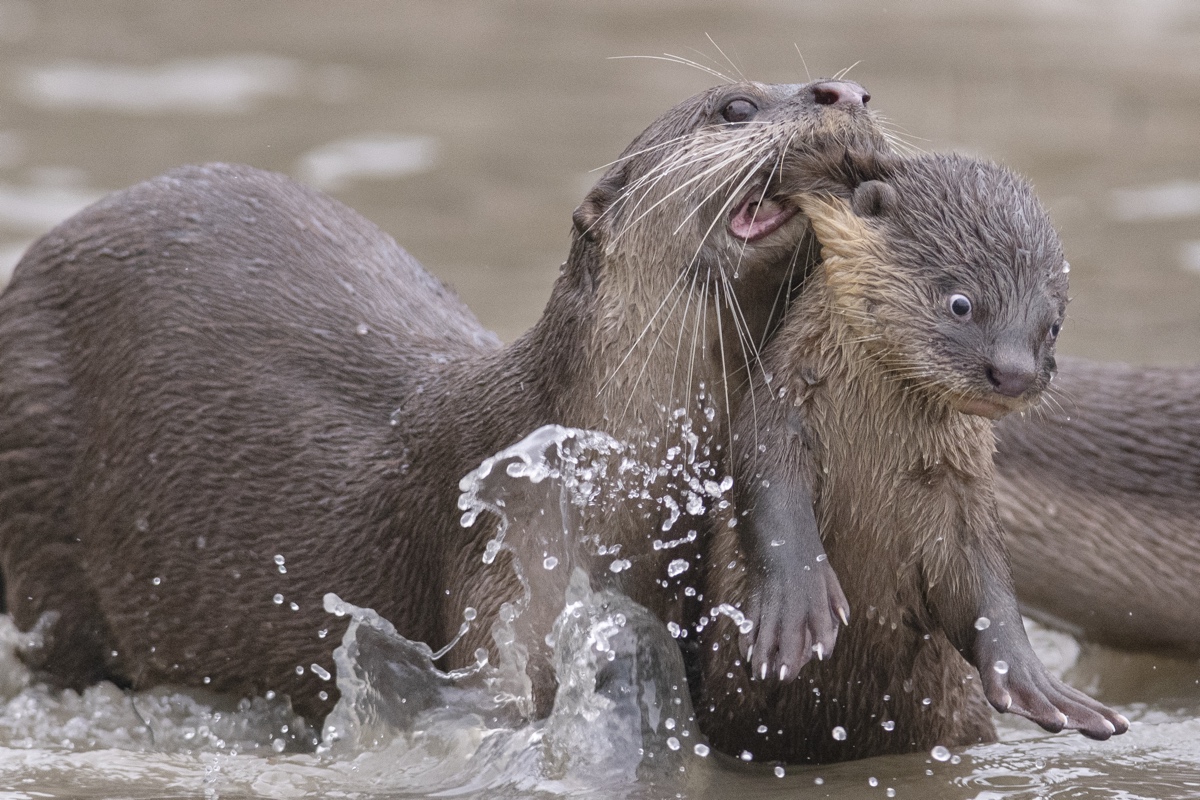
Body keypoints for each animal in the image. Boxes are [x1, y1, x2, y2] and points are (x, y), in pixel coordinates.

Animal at [700, 151, 1128, 762]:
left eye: (1053, 325)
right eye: (961, 303)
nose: (1015, 373)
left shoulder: (961, 485)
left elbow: (985, 582)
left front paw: (1034, 681)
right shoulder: (778, 414)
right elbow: (770, 497)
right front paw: (797, 609)